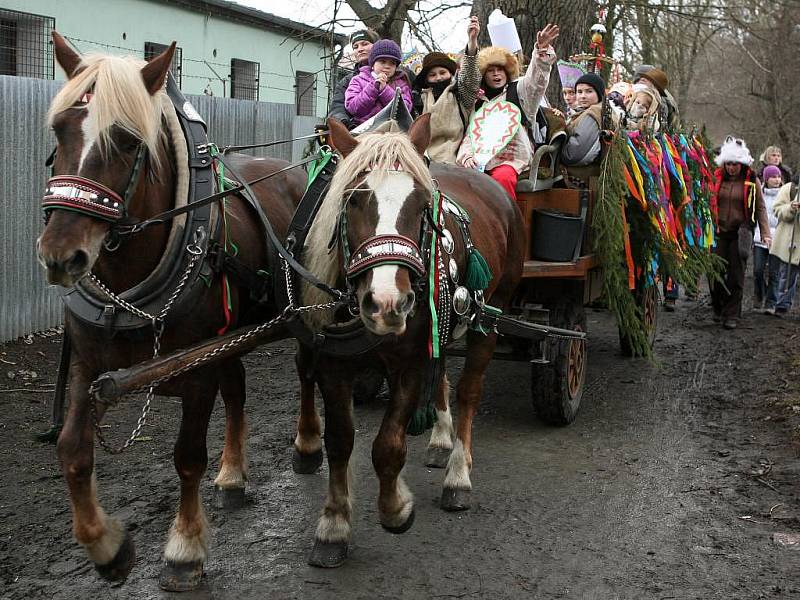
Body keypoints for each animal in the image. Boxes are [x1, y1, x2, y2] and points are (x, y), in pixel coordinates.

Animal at [33, 32, 306, 592]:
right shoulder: (89, 364)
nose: (61, 256)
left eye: (127, 142)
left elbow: (187, 457)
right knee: (237, 391)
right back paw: (232, 477)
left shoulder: (197, 368)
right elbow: (72, 451)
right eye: (58, 128)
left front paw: (183, 550)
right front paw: (107, 547)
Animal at [294, 116, 524, 568]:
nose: (388, 303)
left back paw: (458, 475)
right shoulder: (333, 363)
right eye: (353, 201)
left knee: (469, 391)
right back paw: (440, 439)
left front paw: (394, 508)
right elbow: (340, 441)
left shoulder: (411, 361)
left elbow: (388, 444)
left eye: (421, 204)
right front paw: (334, 525)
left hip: (491, 316)